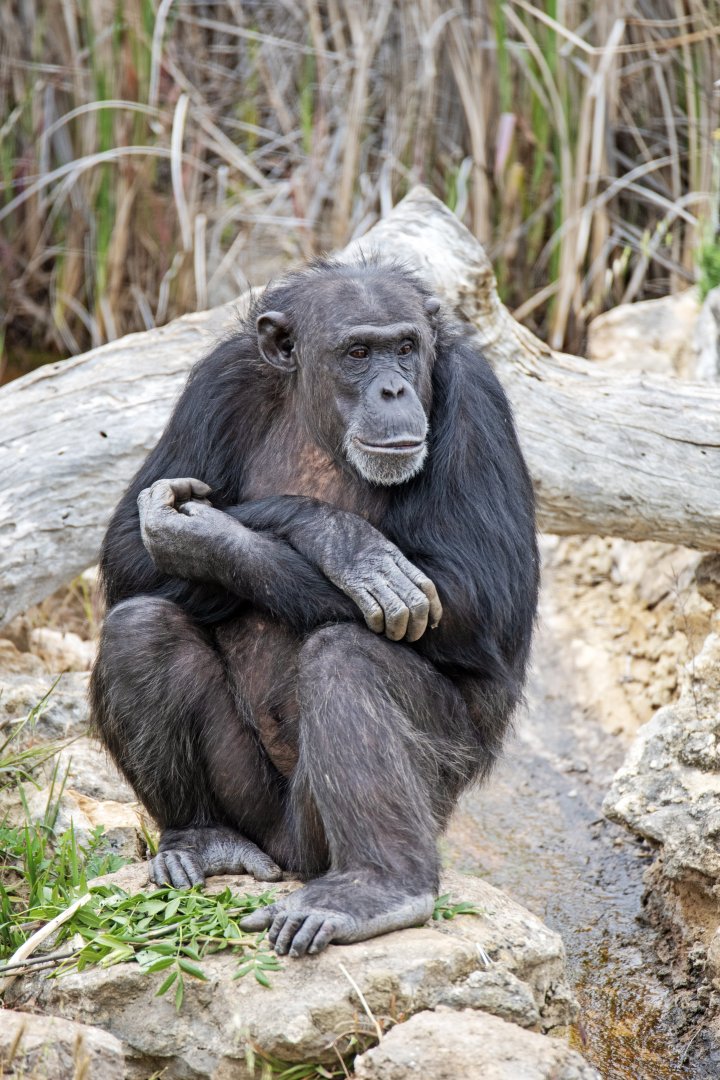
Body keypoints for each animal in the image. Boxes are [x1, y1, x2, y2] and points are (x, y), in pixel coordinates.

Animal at [90, 257, 538, 957]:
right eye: (357, 353)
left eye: (404, 348)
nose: (393, 390)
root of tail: (287, 858)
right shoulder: (219, 380)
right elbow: (128, 551)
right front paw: (336, 539)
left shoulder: (477, 400)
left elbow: (481, 593)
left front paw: (231, 530)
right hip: (256, 810)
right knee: (140, 628)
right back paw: (202, 838)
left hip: (407, 800)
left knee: (349, 656)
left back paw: (380, 887)